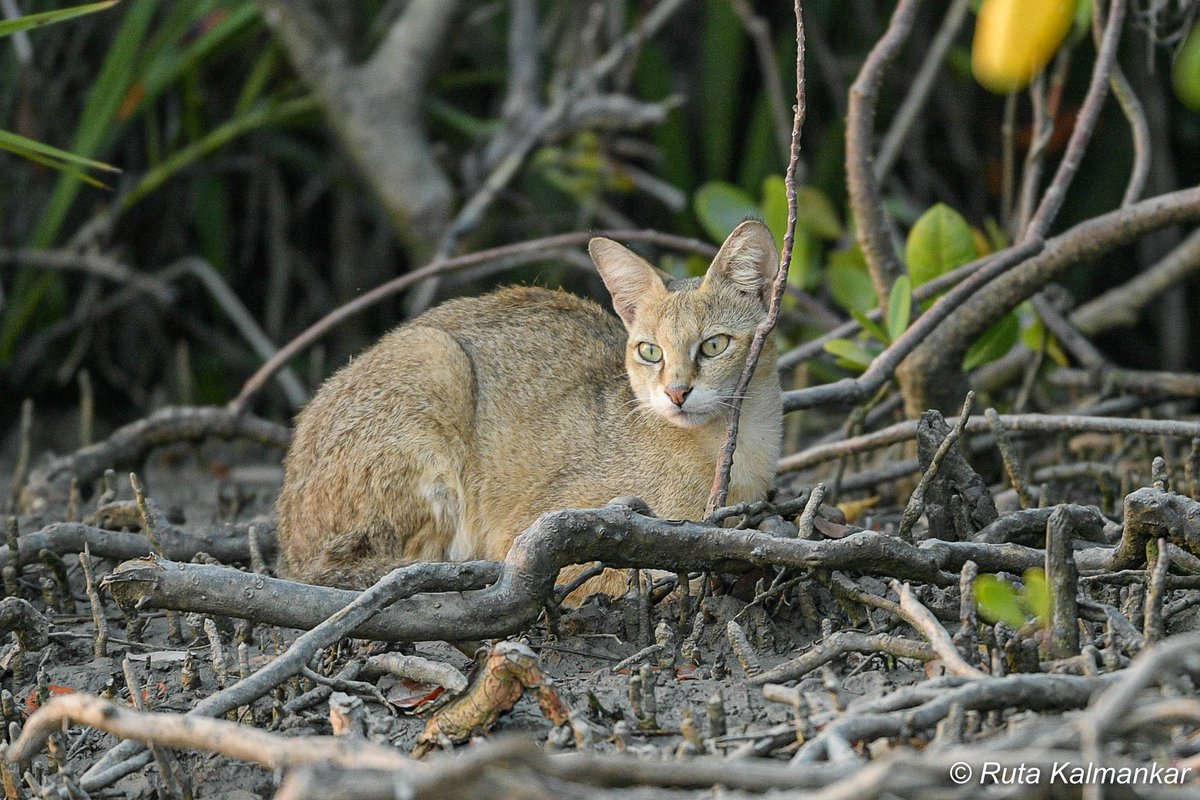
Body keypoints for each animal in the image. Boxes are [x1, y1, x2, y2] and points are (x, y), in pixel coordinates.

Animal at [278, 221, 787, 597]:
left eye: (714, 344)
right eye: (650, 351)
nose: (677, 392)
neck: (735, 453)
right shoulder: (535, 533)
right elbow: (632, 572)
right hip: (434, 361)